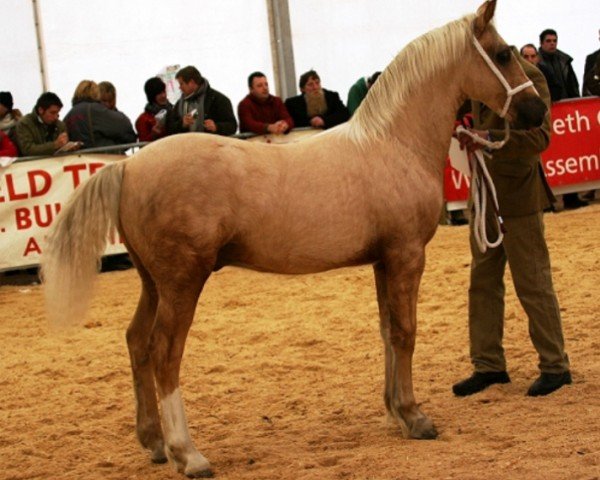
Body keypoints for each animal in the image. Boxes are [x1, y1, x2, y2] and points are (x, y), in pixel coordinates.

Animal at [42, 2, 548, 476]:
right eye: (503, 54)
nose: (539, 109)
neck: (392, 143)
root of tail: (127, 168)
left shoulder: (383, 261)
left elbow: (387, 331)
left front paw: (394, 414)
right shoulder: (406, 256)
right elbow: (405, 333)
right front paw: (416, 417)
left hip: (153, 282)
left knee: (137, 344)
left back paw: (154, 443)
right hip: (182, 281)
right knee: (165, 353)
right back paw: (189, 454)